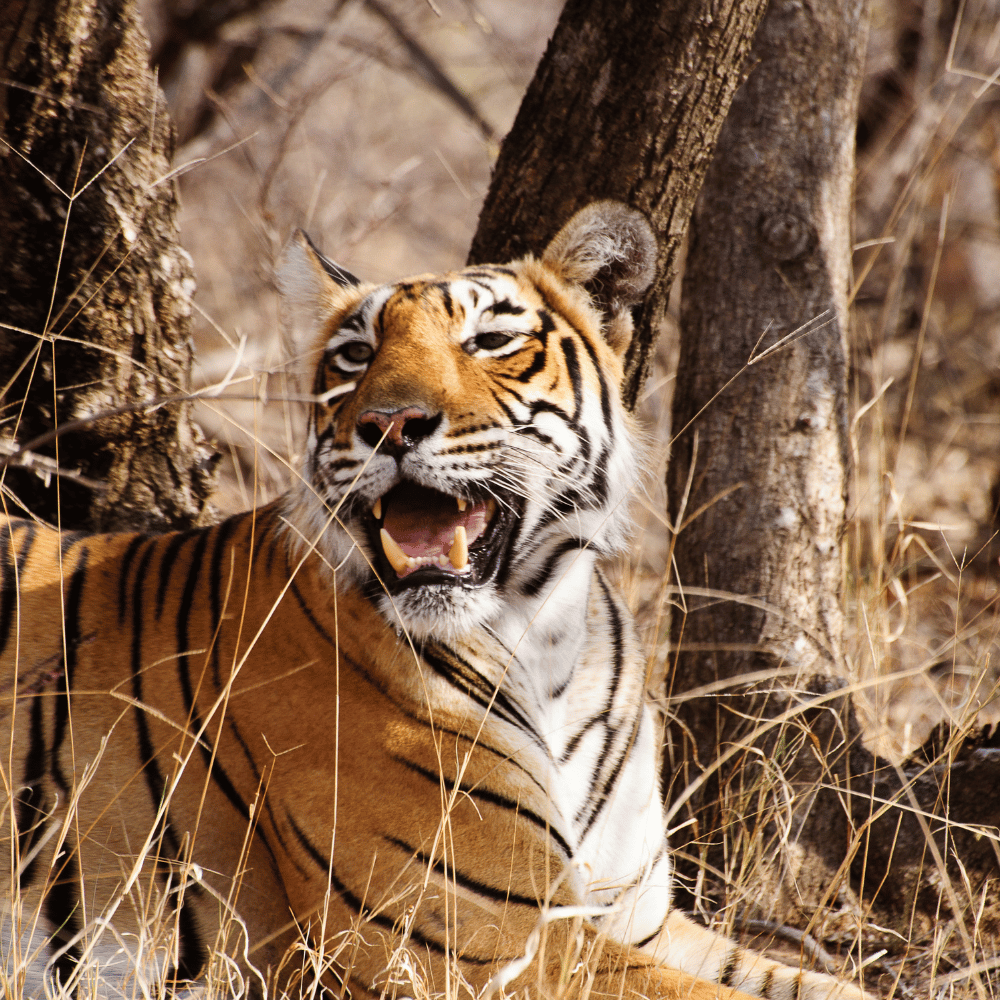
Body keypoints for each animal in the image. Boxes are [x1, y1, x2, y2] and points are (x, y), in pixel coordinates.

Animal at [0, 201, 869, 1000]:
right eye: (355, 355)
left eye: (489, 341)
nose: (389, 423)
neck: (547, 641)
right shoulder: (493, 941)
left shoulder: (639, 916)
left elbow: (833, 986)